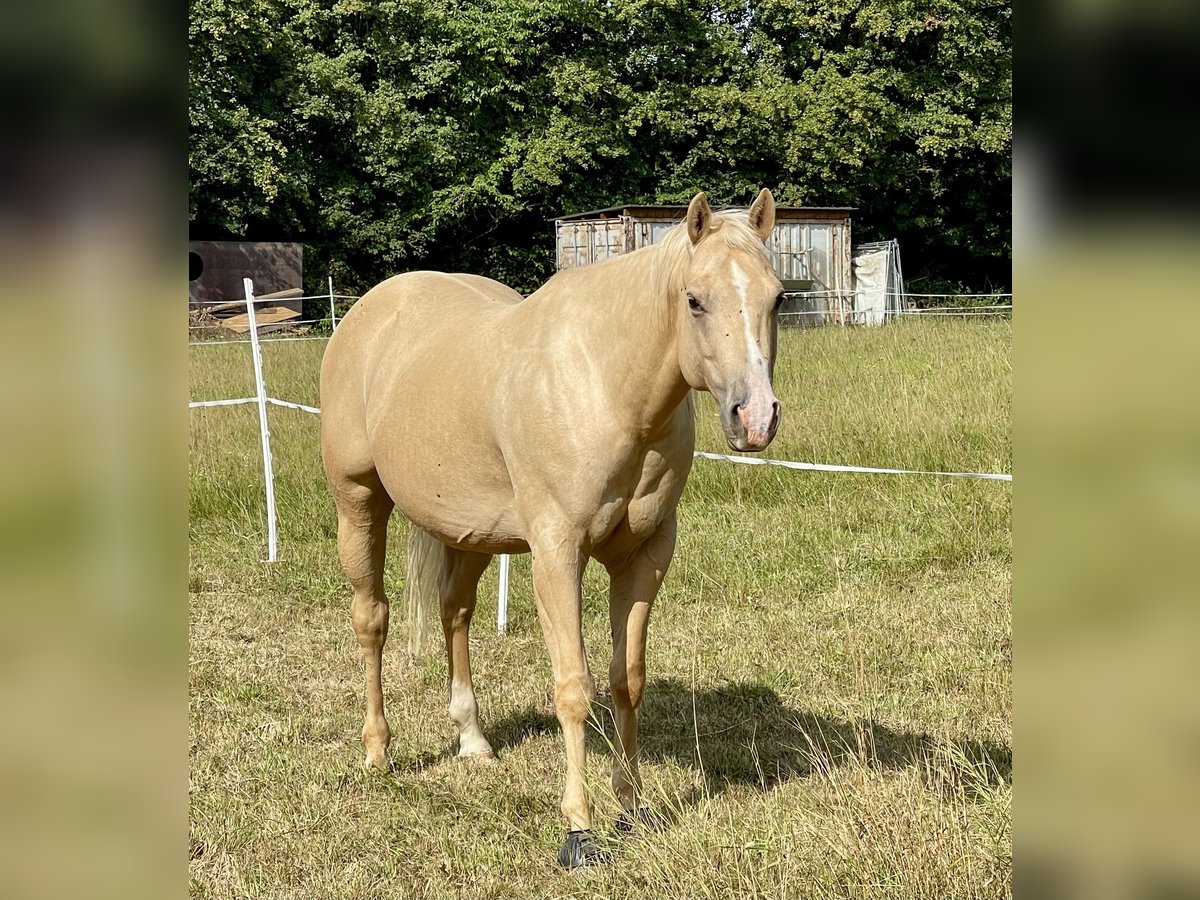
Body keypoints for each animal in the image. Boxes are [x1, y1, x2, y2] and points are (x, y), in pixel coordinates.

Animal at [319, 190, 784, 867]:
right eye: (695, 300)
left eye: (777, 297)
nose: (754, 419)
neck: (605, 386)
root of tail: (368, 311)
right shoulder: (556, 556)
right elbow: (574, 688)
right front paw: (578, 827)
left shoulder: (644, 557)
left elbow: (626, 680)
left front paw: (631, 806)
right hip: (358, 503)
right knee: (371, 619)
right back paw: (378, 752)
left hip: (473, 533)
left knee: (455, 612)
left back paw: (473, 739)